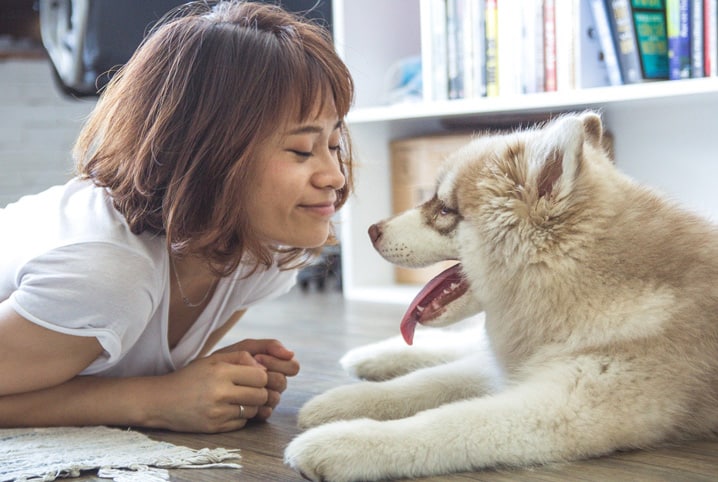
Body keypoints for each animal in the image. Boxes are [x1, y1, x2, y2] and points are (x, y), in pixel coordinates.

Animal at [286, 111, 718, 480]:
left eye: (444, 210)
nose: (371, 230)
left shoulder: (562, 407)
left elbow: (447, 421)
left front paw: (344, 442)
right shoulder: (517, 368)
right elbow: (425, 383)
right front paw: (341, 402)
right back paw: (372, 357)